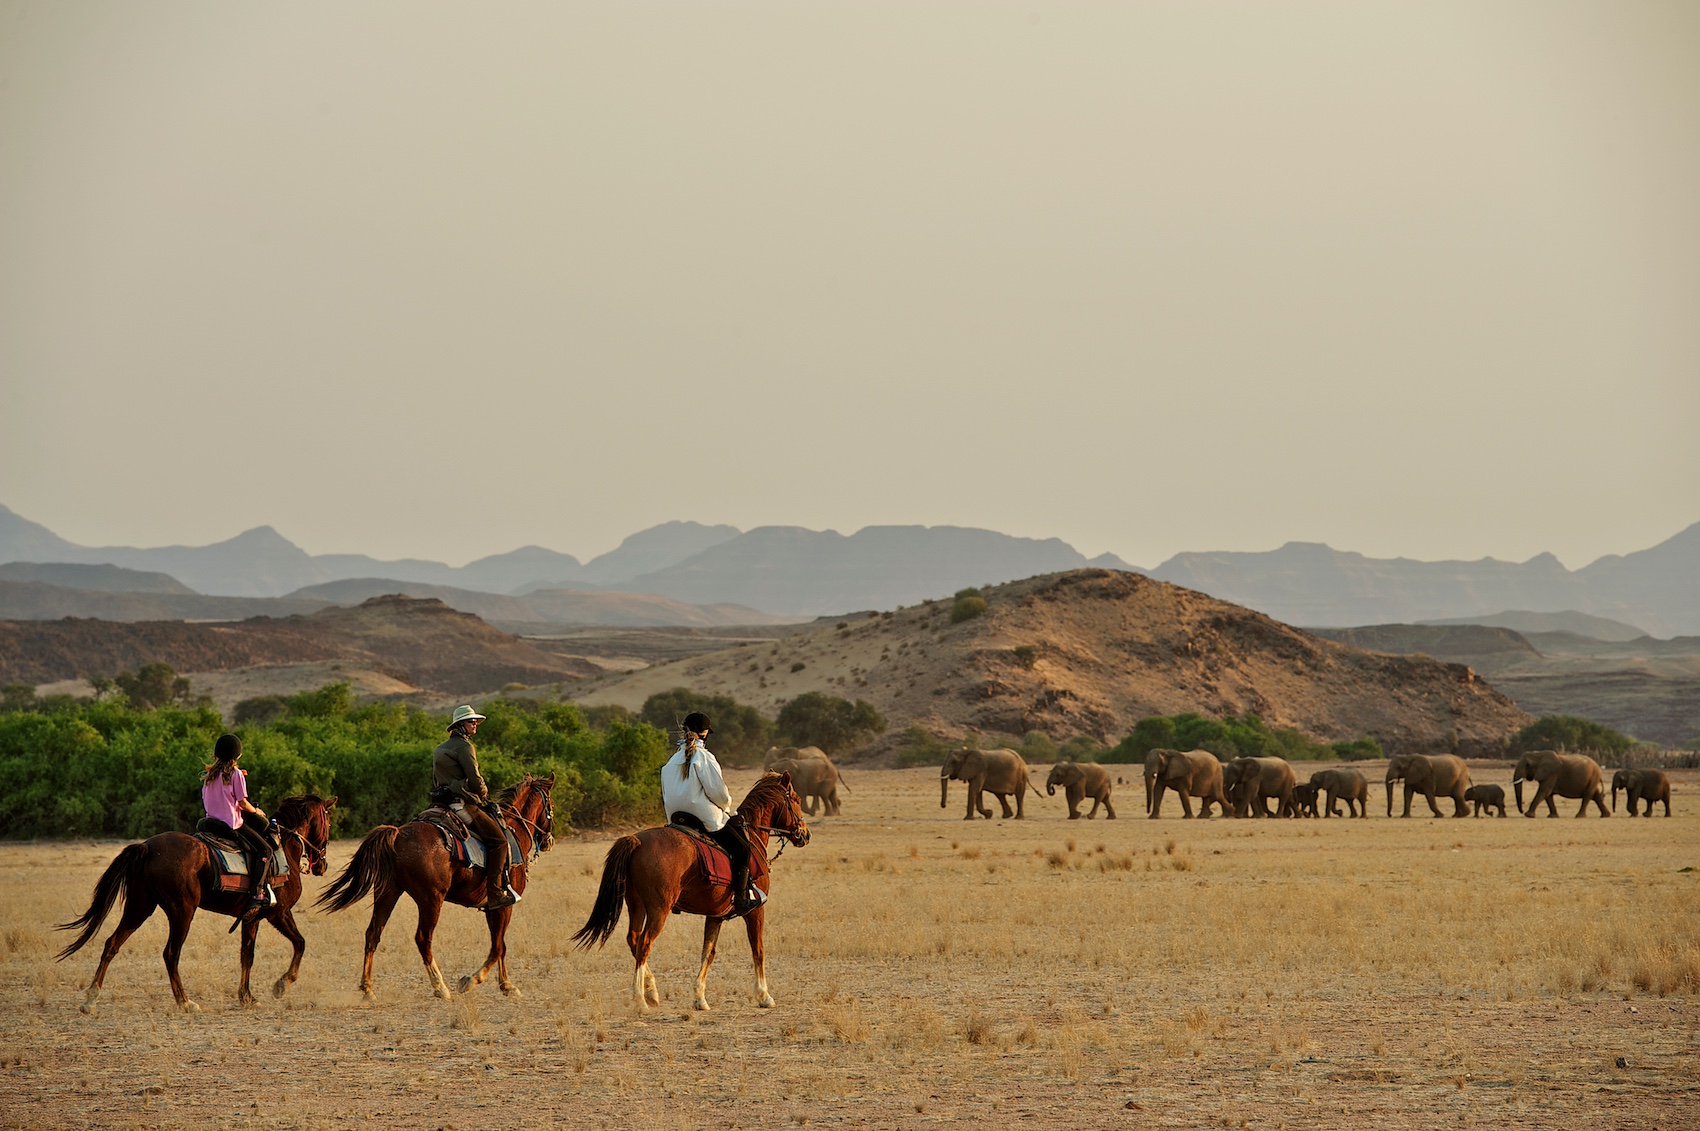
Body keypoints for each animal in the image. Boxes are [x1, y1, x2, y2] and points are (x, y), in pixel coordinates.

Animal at [57, 789, 334, 1006]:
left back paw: (92, 997)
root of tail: (148, 847)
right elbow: (300, 943)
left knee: (112, 943)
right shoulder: (279, 913)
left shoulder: (251, 918)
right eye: (328, 822)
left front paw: (246, 996)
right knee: (170, 954)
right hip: (182, 911)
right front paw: (282, 984)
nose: (322, 864)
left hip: (140, 907)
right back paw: (185, 1001)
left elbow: (247, 955)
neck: (283, 847)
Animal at [319, 772, 557, 1000]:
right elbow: (498, 947)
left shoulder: (493, 908)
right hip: (431, 901)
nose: (549, 841)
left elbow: (500, 946)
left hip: (388, 893)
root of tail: (398, 834)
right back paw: (440, 986)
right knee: (423, 939)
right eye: (551, 805)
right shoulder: (504, 905)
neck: (513, 830)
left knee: (373, 933)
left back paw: (368, 988)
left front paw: (506, 985)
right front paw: (471, 981)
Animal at [571, 772, 809, 1006]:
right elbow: (758, 949)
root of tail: (636, 840)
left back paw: (651, 990)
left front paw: (699, 996)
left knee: (634, 940)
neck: (751, 838)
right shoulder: (755, 910)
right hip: (658, 909)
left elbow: (708, 952)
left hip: (636, 905)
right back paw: (640, 998)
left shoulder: (715, 915)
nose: (805, 834)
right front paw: (764, 995)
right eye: (796, 800)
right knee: (645, 943)